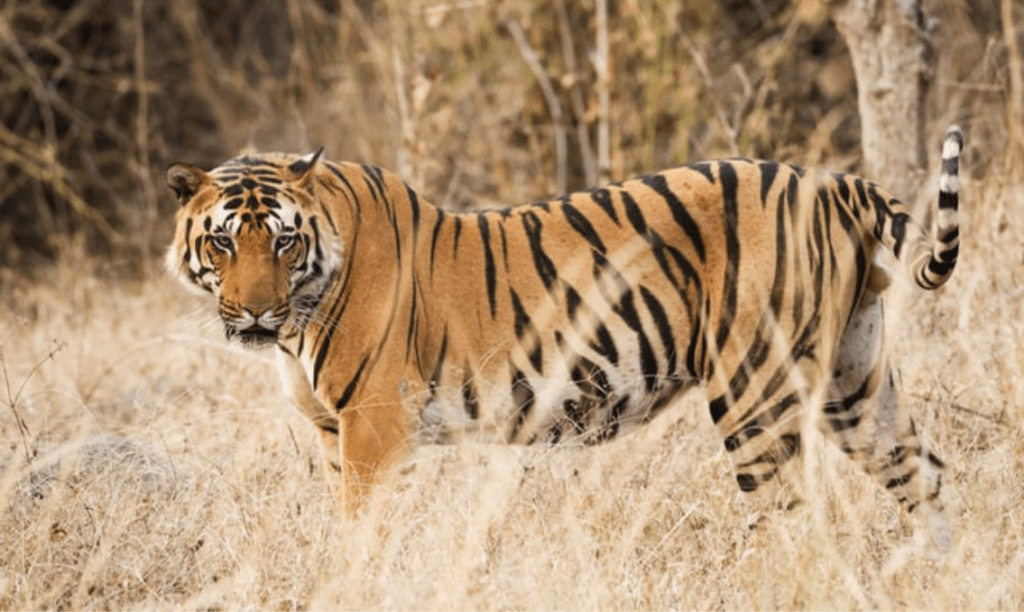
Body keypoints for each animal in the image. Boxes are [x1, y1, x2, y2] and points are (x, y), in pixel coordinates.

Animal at [166, 125, 963, 541]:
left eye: (283, 242)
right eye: (224, 244)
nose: (255, 313)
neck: (301, 315)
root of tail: (831, 181)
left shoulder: (374, 426)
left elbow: (362, 535)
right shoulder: (334, 432)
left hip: (755, 393)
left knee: (794, 522)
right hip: (855, 382)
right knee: (926, 477)